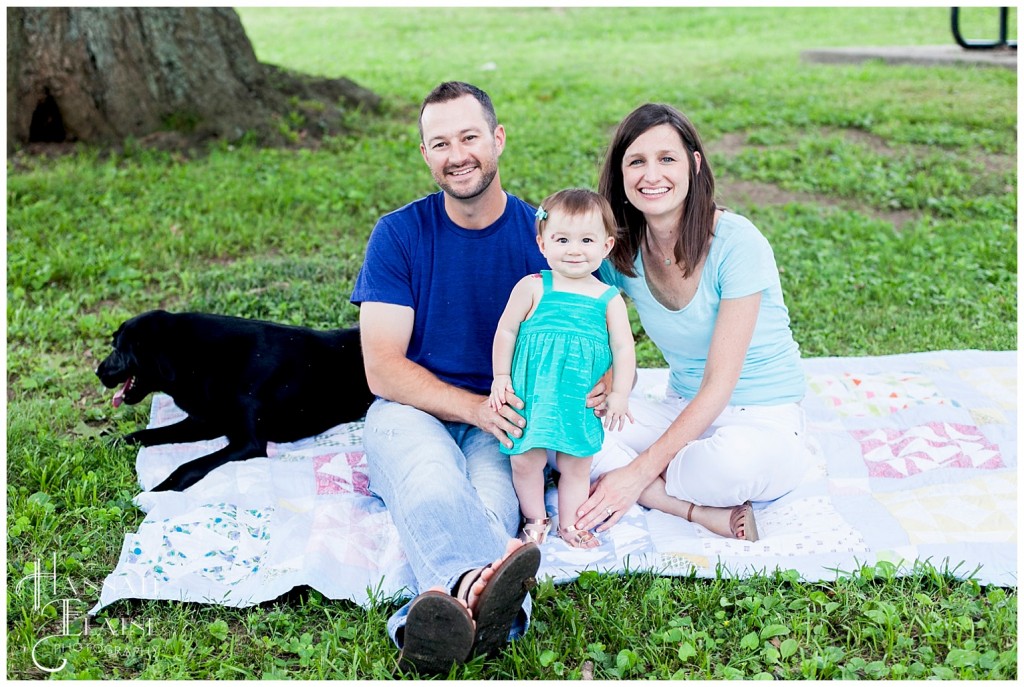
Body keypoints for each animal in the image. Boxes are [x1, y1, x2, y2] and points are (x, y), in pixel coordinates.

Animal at [96, 311, 374, 495]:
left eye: (118, 349)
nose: (98, 371)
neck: (204, 360)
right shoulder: (203, 423)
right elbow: (146, 434)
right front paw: (110, 443)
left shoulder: (248, 444)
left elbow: (188, 466)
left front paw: (158, 491)